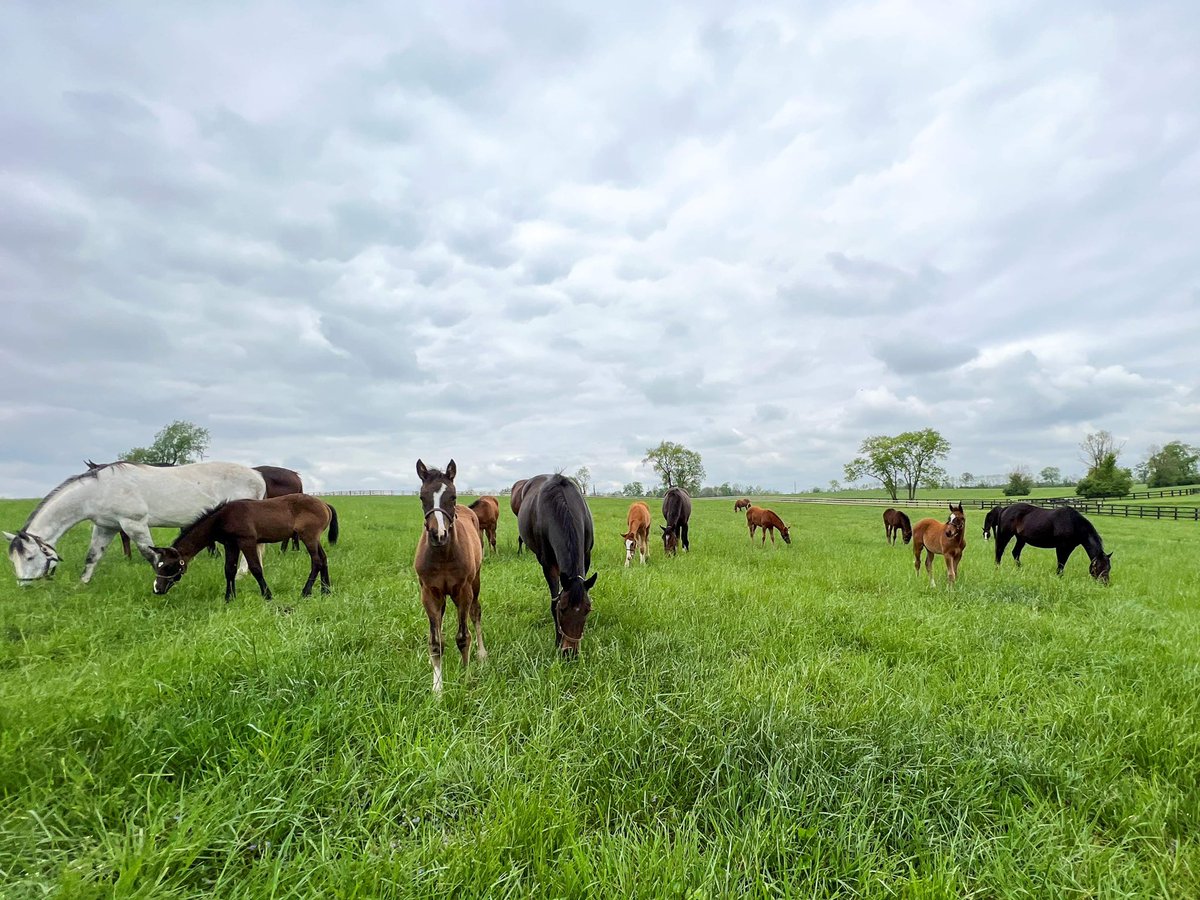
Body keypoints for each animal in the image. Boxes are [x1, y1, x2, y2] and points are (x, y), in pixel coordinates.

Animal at [5, 461, 266, 585]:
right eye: (13, 560)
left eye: (30, 557)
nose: (25, 586)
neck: (100, 489)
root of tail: (257, 476)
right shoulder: (106, 527)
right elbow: (92, 557)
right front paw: (81, 585)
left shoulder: (134, 524)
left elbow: (151, 556)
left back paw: (242, 574)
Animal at [150, 494, 338, 601]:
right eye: (158, 565)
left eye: (168, 566)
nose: (157, 589)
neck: (222, 518)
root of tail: (325, 504)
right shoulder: (231, 544)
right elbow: (229, 570)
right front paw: (229, 597)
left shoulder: (247, 541)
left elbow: (255, 568)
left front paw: (267, 596)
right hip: (314, 539)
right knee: (323, 559)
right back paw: (326, 591)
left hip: (309, 537)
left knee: (316, 561)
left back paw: (306, 592)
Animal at [414, 460, 485, 692]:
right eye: (422, 497)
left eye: (452, 496)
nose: (439, 534)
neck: (443, 555)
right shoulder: (429, 593)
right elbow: (436, 642)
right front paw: (437, 689)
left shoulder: (463, 592)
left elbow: (463, 637)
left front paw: (466, 680)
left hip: (475, 582)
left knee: (476, 612)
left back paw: (482, 654)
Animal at [517, 473, 597, 656]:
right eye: (562, 609)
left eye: (587, 610)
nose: (570, 653)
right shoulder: (548, 565)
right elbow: (554, 600)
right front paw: (557, 641)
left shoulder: (586, 556)